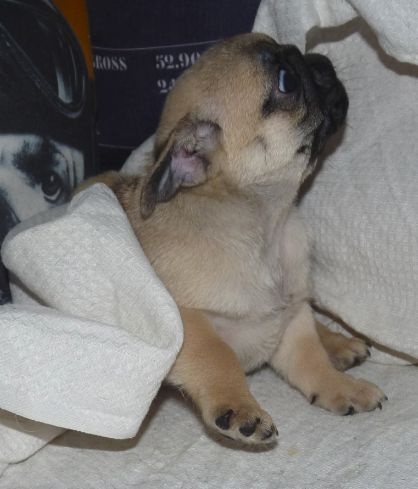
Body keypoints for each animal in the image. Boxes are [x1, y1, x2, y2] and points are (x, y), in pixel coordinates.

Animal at [82, 33, 386, 445]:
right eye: (287, 82)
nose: (320, 61)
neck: (265, 227)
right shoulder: (183, 321)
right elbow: (218, 355)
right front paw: (238, 405)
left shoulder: (291, 320)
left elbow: (312, 361)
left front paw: (341, 386)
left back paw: (339, 343)